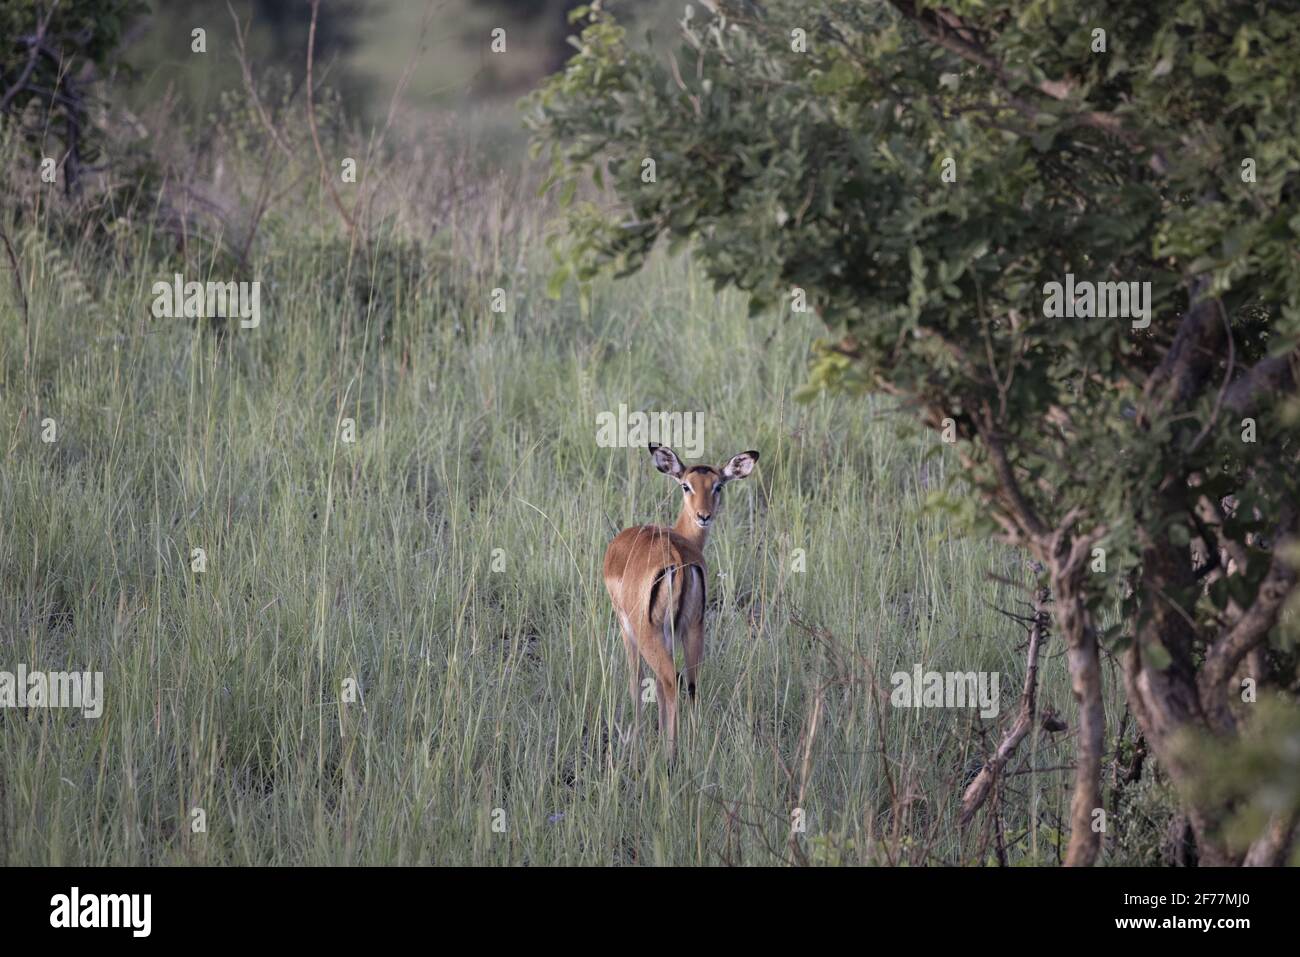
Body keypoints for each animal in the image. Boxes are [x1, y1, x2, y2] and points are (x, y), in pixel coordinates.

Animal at [603, 442, 759, 755]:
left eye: (717, 486)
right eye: (687, 485)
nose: (704, 515)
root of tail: (677, 558)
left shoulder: (627, 628)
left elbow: (636, 681)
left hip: (648, 632)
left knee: (668, 679)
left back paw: (670, 755)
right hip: (693, 629)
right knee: (691, 684)